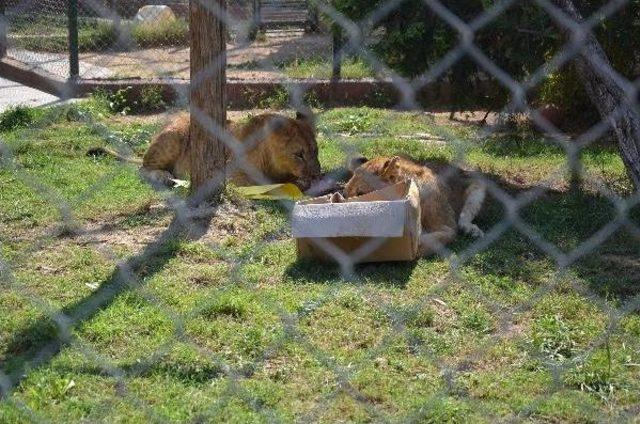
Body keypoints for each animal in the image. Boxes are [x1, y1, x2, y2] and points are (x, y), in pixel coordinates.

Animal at [89, 111, 320, 189]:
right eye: (299, 155)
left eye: (315, 152)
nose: (316, 175)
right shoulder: (230, 174)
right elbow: (264, 183)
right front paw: (298, 183)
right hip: (174, 136)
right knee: (143, 169)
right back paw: (164, 177)